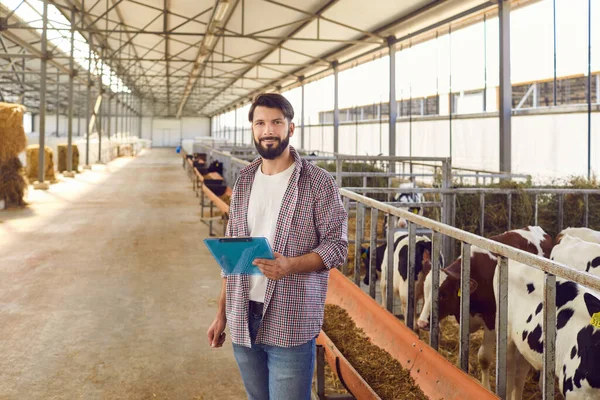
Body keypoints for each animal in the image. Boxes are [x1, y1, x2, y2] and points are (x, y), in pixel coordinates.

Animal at [418, 225, 552, 390]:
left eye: (443, 294)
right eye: (424, 290)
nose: (422, 323)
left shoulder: (491, 321)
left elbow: (484, 358)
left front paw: (486, 387)